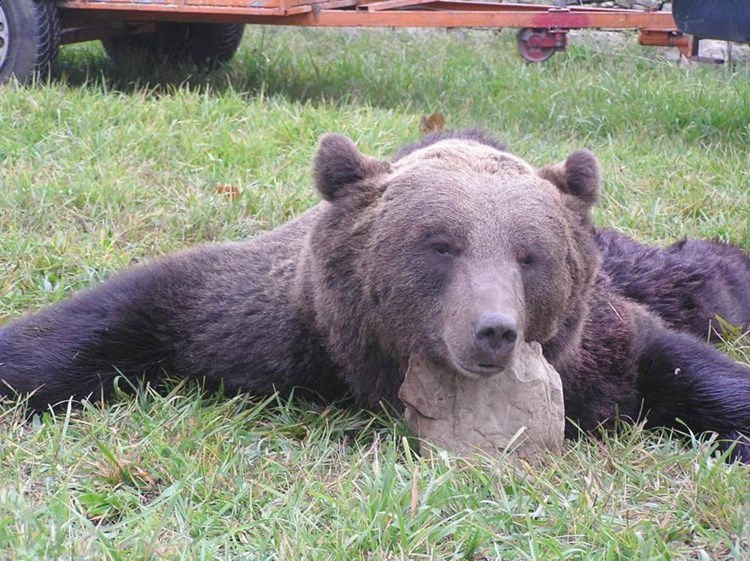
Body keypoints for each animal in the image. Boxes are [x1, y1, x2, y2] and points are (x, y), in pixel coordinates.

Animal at [1, 130, 750, 460]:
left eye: (529, 255)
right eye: (440, 244)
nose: (494, 330)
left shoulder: (597, 345)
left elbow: (677, 364)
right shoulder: (263, 321)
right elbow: (129, 311)